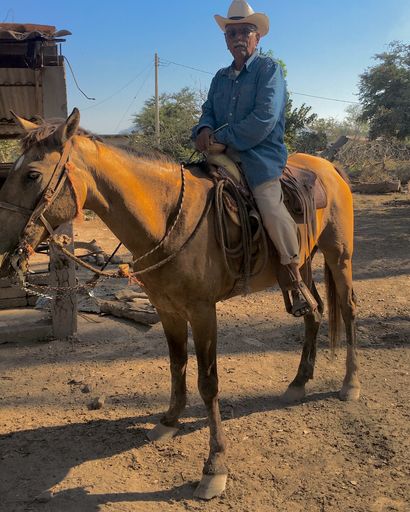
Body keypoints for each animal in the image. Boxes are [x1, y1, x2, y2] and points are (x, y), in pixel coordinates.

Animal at [0, 109, 358, 500]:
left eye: (32, 175)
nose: (2, 249)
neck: (169, 218)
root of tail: (328, 166)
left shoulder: (202, 313)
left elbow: (208, 382)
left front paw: (215, 467)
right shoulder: (167, 309)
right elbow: (176, 365)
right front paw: (169, 420)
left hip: (339, 257)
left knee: (348, 310)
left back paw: (350, 384)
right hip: (302, 264)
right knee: (315, 312)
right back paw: (298, 381)